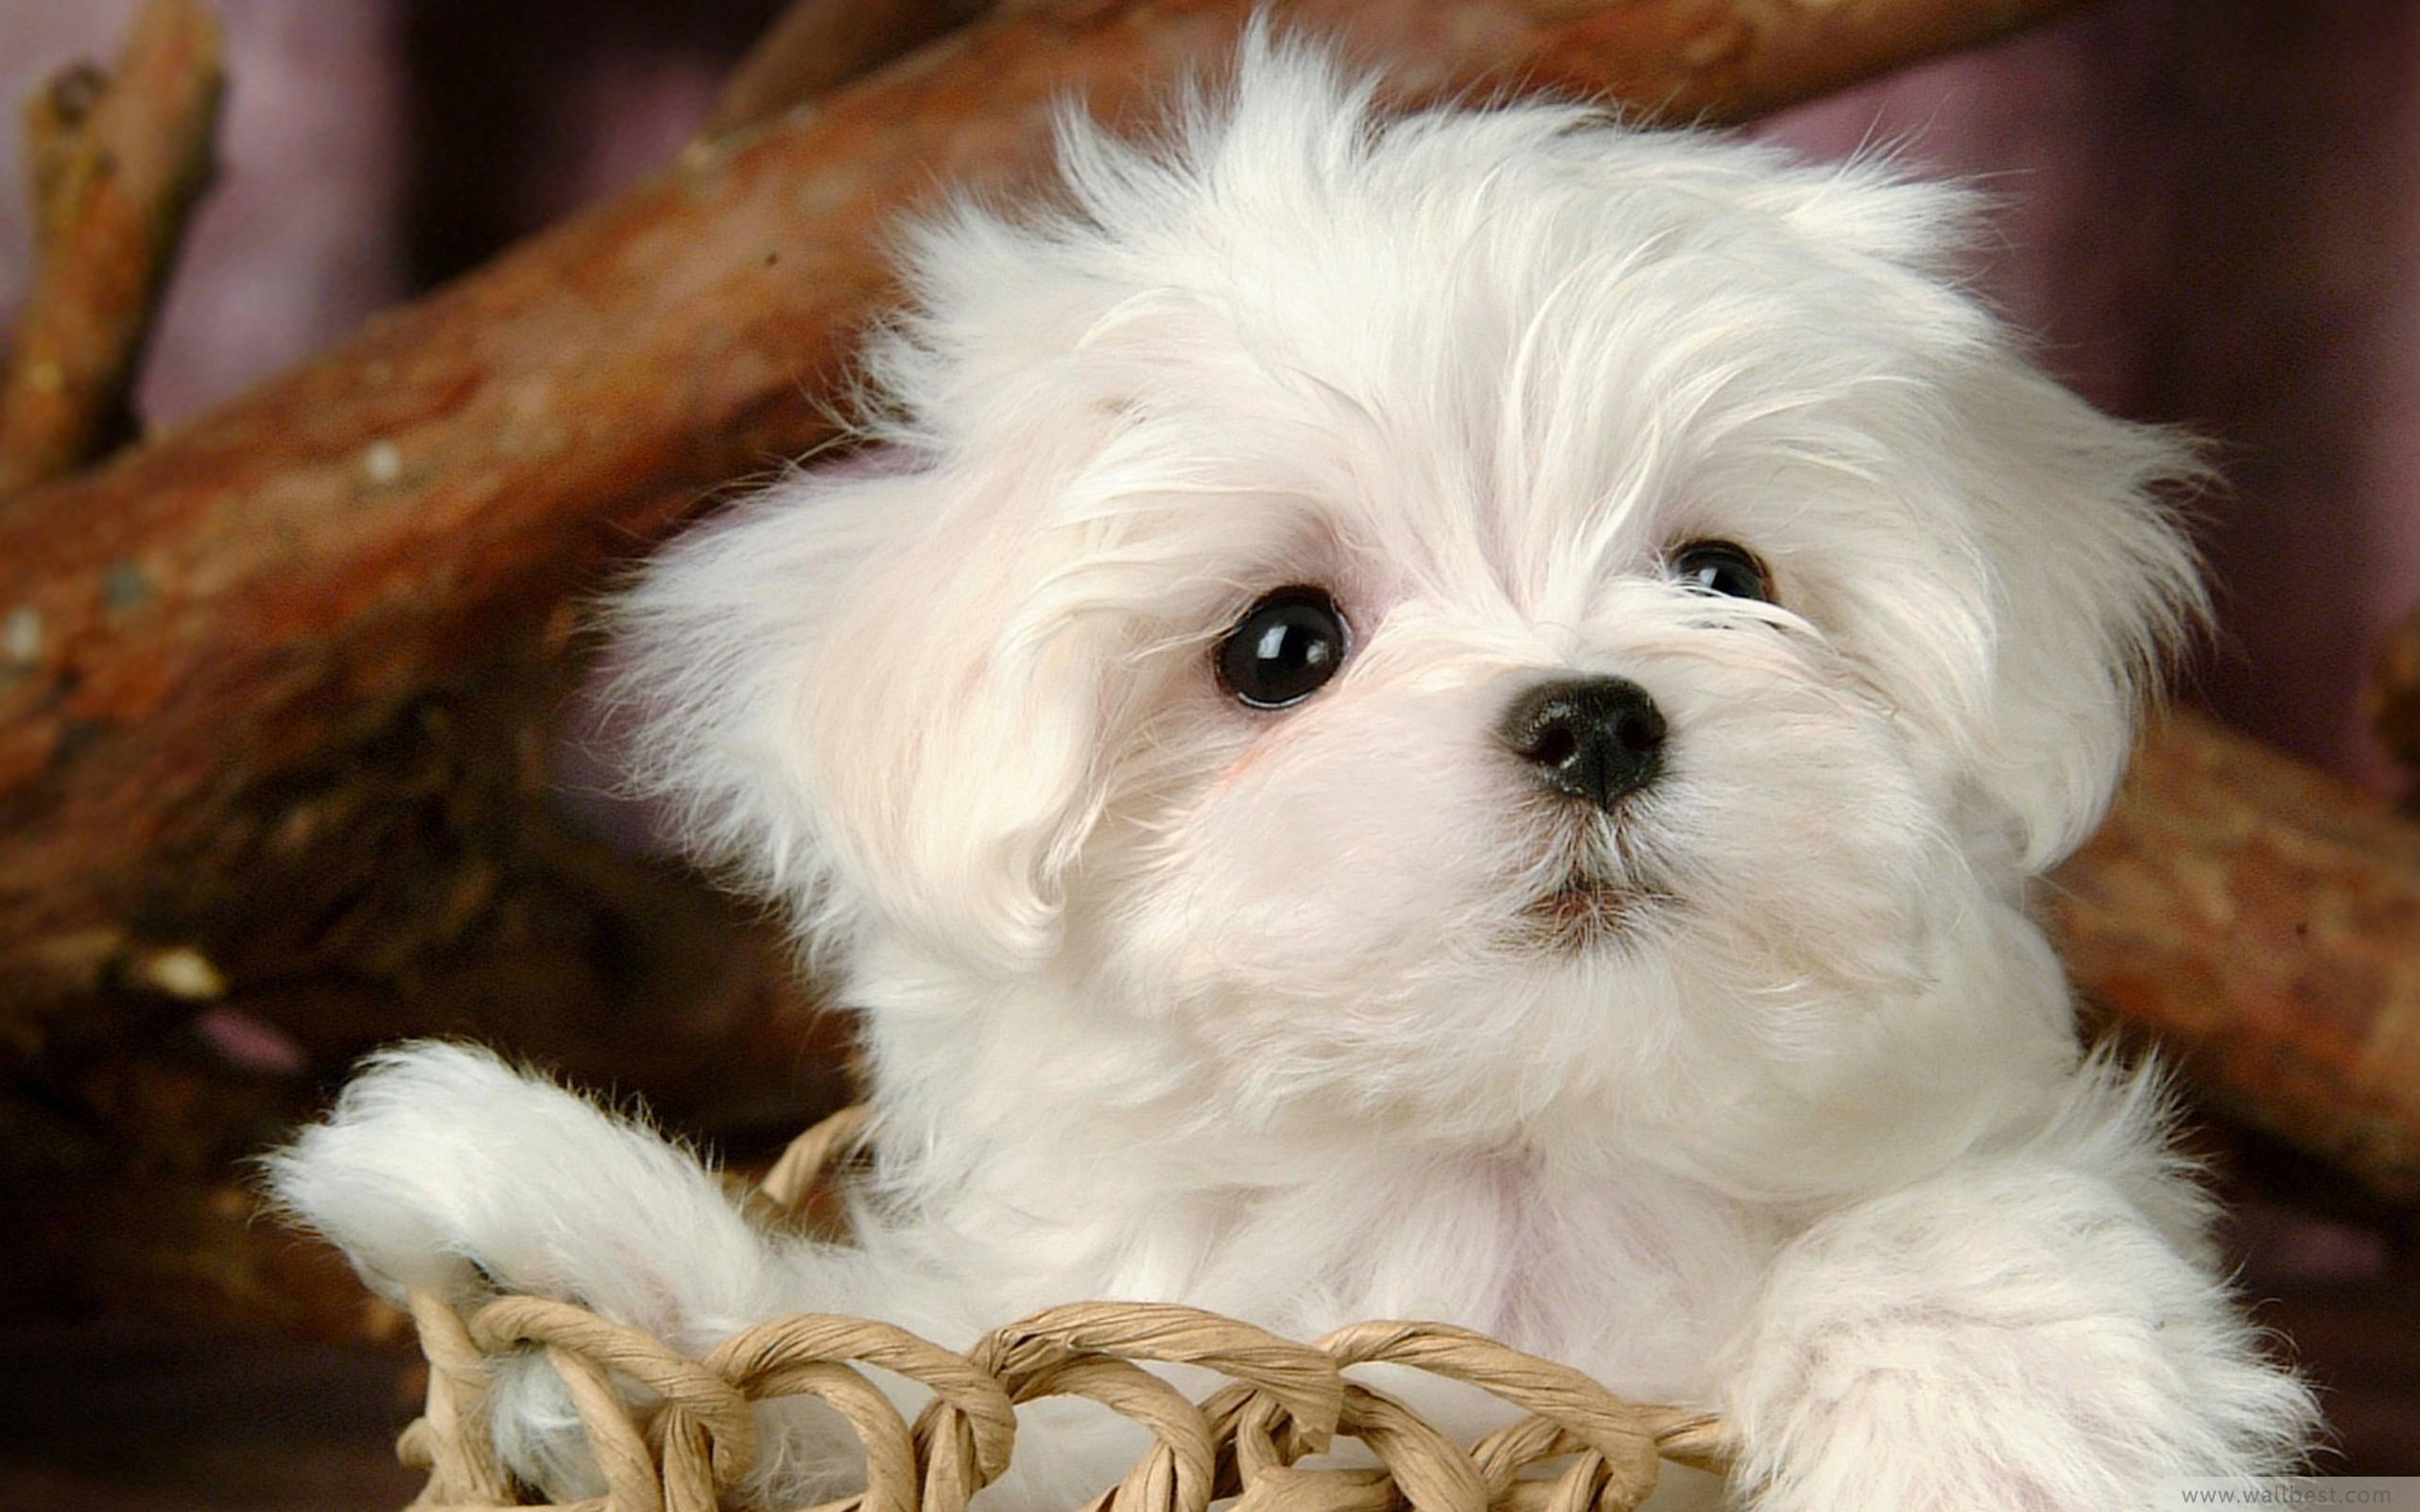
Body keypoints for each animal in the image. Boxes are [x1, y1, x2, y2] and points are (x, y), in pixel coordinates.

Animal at [265, 35, 2304, 1509]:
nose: (1592, 715)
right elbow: (853, 1365)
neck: (1499, 1172)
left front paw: (1996, 1428)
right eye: (1279, 649)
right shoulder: (1094, 1373)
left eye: (1728, 576)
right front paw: (533, 1203)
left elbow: (1976, 1224)